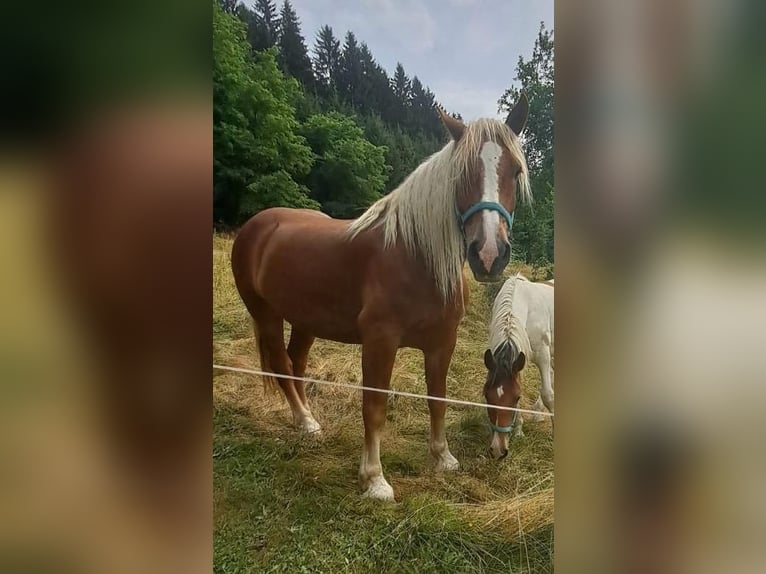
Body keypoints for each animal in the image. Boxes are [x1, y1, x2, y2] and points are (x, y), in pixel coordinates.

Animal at [231, 95, 531, 500]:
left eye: (514, 171)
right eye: (460, 174)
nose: (488, 254)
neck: (414, 255)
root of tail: (257, 224)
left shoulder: (443, 342)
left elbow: (438, 397)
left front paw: (443, 458)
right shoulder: (380, 342)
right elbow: (374, 406)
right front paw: (374, 479)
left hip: (305, 321)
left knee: (296, 363)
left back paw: (309, 421)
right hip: (266, 314)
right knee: (281, 363)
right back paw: (305, 421)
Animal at [483, 274, 554, 459]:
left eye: (515, 398)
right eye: (487, 396)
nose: (498, 450)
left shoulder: (543, 355)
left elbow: (548, 394)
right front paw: (519, 431)